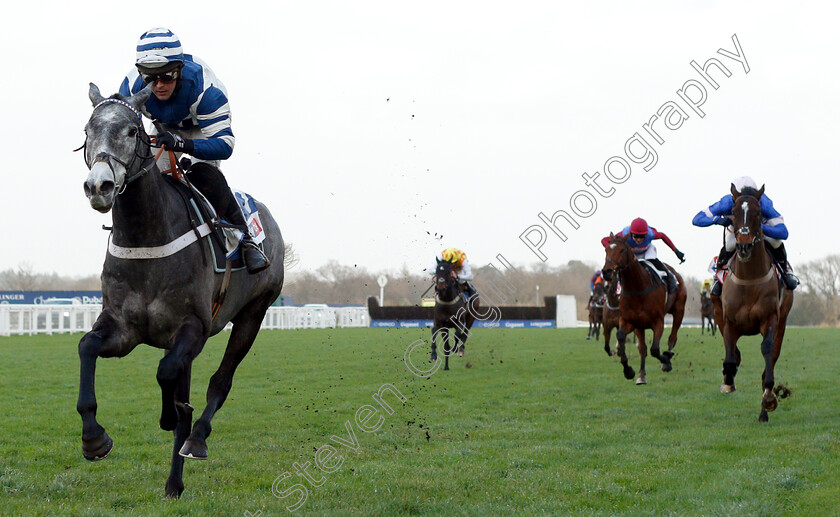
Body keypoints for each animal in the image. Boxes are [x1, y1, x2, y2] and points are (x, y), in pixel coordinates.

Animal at [78, 82, 286, 498]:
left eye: (132, 131)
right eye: (88, 131)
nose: (99, 186)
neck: (147, 237)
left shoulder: (194, 327)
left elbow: (167, 372)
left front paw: (170, 416)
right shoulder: (123, 327)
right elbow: (87, 347)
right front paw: (94, 439)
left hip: (255, 312)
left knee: (219, 381)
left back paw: (196, 440)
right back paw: (174, 482)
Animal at [600, 234, 684, 382]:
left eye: (622, 250)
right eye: (606, 250)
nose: (607, 272)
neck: (638, 288)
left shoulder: (658, 321)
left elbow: (655, 350)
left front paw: (665, 361)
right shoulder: (629, 322)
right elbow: (621, 337)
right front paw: (628, 370)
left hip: (679, 310)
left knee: (672, 337)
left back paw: (667, 357)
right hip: (640, 326)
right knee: (643, 348)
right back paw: (641, 375)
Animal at [712, 183, 796, 422]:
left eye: (758, 213)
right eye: (733, 211)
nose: (744, 246)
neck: (749, 279)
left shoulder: (771, 319)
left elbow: (767, 352)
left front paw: (769, 399)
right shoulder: (728, 321)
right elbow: (730, 358)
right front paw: (728, 382)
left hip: (782, 321)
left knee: (772, 357)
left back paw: (764, 411)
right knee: (733, 353)